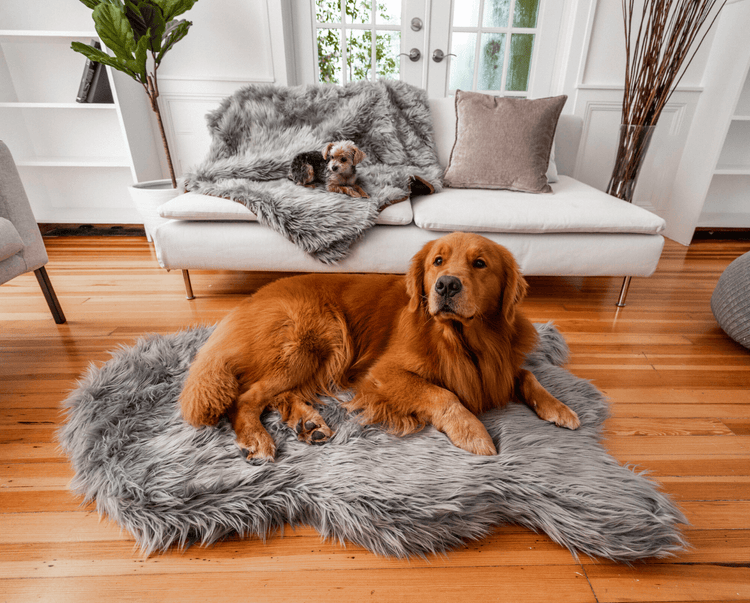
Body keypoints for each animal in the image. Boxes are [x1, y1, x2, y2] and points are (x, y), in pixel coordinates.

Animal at [181, 234, 580, 460]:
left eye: (480, 263)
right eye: (437, 261)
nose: (446, 285)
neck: (464, 340)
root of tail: (248, 301)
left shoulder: (502, 365)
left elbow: (527, 375)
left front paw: (558, 406)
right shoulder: (382, 374)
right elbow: (443, 394)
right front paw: (473, 433)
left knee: (275, 393)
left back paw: (308, 423)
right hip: (321, 338)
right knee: (245, 397)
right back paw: (258, 440)